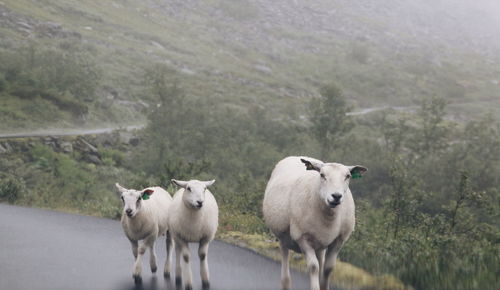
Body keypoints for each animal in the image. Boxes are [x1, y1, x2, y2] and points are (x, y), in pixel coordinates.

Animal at [262, 156, 368, 290]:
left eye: (347, 176)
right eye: (322, 175)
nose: (336, 196)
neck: (329, 218)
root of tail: (296, 156)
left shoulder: (339, 240)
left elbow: (328, 269)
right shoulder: (302, 237)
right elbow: (313, 267)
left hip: (320, 243)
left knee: (321, 260)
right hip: (283, 235)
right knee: (285, 254)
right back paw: (286, 283)